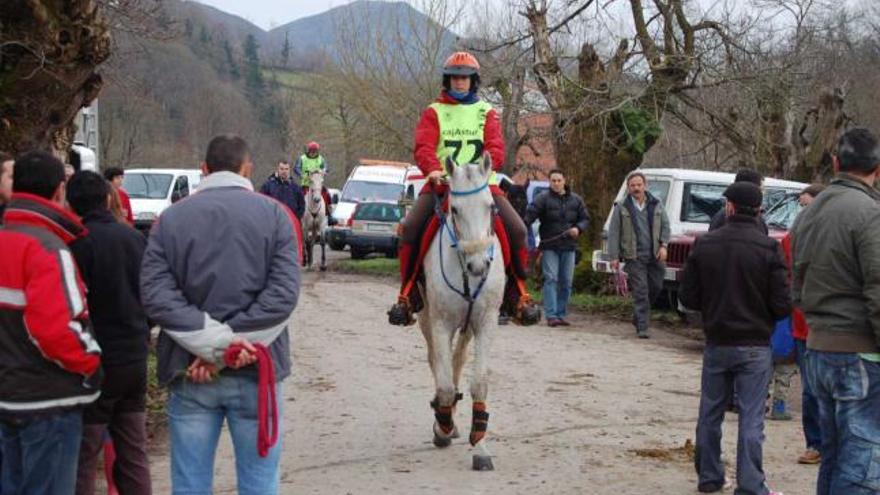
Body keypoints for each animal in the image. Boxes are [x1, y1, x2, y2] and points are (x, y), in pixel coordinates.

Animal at [418, 153, 506, 470]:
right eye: (454, 209)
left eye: (490, 206)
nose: (478, 265)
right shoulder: (440, 323)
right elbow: (443, 383)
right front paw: (441, 428)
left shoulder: (486, 323)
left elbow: (479, 382)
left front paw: (480, 445)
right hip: (426, 318)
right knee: (437, 361)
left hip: (468, 326)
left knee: (457, 360)